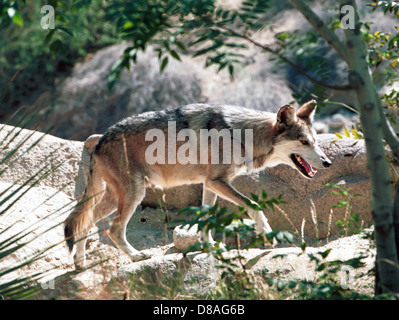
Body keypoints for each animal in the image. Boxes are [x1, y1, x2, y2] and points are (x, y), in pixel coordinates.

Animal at [65, 99, 332, 268]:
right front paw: (267, 236)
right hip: (134, 195)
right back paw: (136, 257)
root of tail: (99, 141)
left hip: (115, 198)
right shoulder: (218, 182)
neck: (242, 135)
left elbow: (206, 217)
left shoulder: (210, 184)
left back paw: (80, 264)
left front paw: (210, 247)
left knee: (84, 223)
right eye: (304, 142)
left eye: (315, 141)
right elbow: (254, 204)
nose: (328, 162)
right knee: (112, 229)